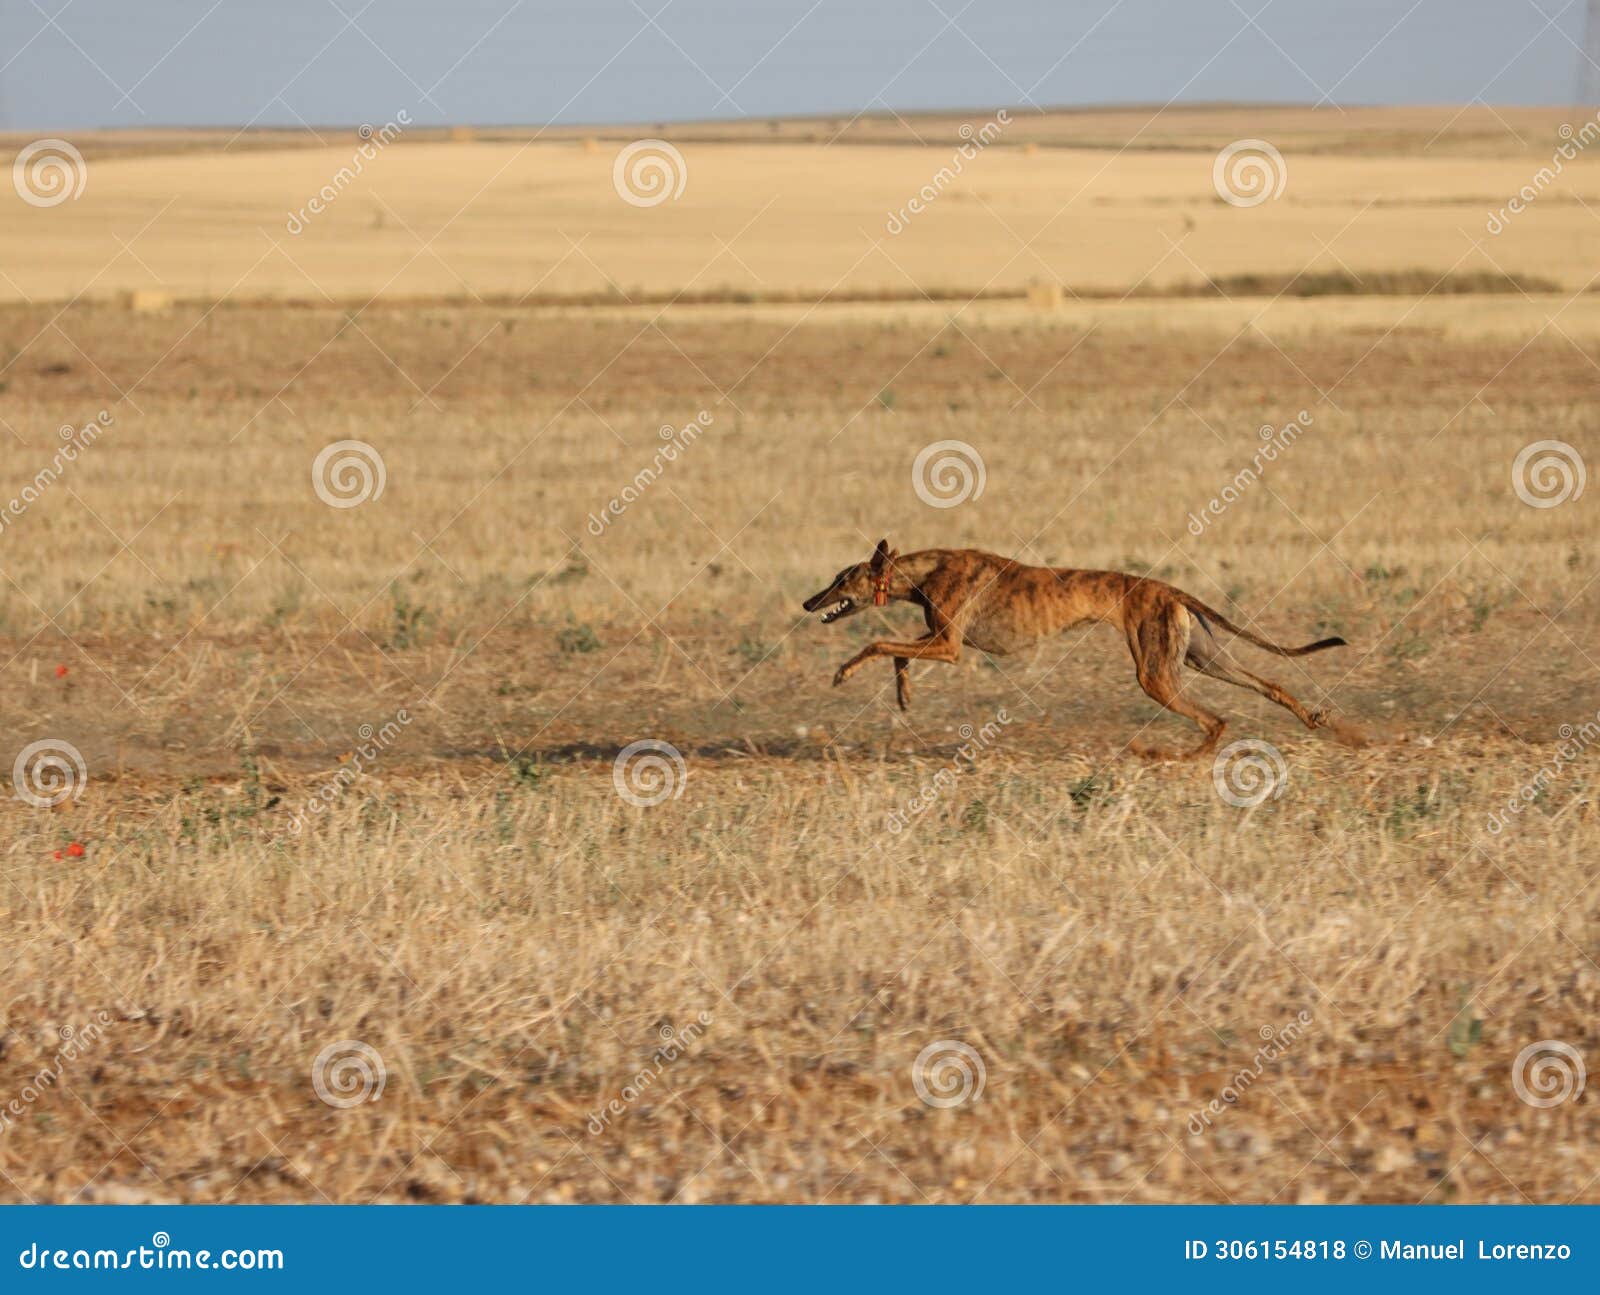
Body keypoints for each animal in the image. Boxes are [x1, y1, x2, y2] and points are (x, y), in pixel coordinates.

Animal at [800, 537, 1350, 758]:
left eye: (841, 579)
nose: (808, 602)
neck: (925, 570)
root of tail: (1168, 589)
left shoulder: (949, 645)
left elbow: (877, 641)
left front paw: (843, 673)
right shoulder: (937, 639)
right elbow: (896, 651)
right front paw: (904, 696)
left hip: (1156, 674)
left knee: (1215, 719)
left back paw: (1170, 757)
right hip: (1203, 657)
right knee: (1269, 683)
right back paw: (1316, 719)